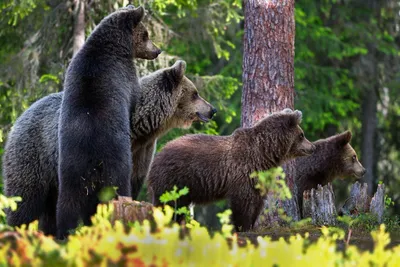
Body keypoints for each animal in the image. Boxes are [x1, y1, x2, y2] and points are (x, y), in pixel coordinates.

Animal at [2, 60, 216, 237]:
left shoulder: (142, 151)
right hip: (33, 155)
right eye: (195, 93)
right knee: (25, 200)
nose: (212, 110)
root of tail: (21, 116)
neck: (141, 127)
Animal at [56, 5, 161, 239]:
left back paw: (65, 231)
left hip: (70, 164)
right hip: (115, 156)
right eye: (146, 34)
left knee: (68, 201)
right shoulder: (126, 75)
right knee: (118, 184)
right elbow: (135, 98)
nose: (157, 51)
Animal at [147, 110, 316, 232]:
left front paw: (251, 225)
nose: (312, 147)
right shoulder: (243, 172)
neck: (265, 153)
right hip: (173, 178)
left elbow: (258, 202)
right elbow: (243, 202)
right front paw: (242, 226)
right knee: (168, 203)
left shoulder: (260, 175)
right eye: (302, 135)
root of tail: (158, 153)